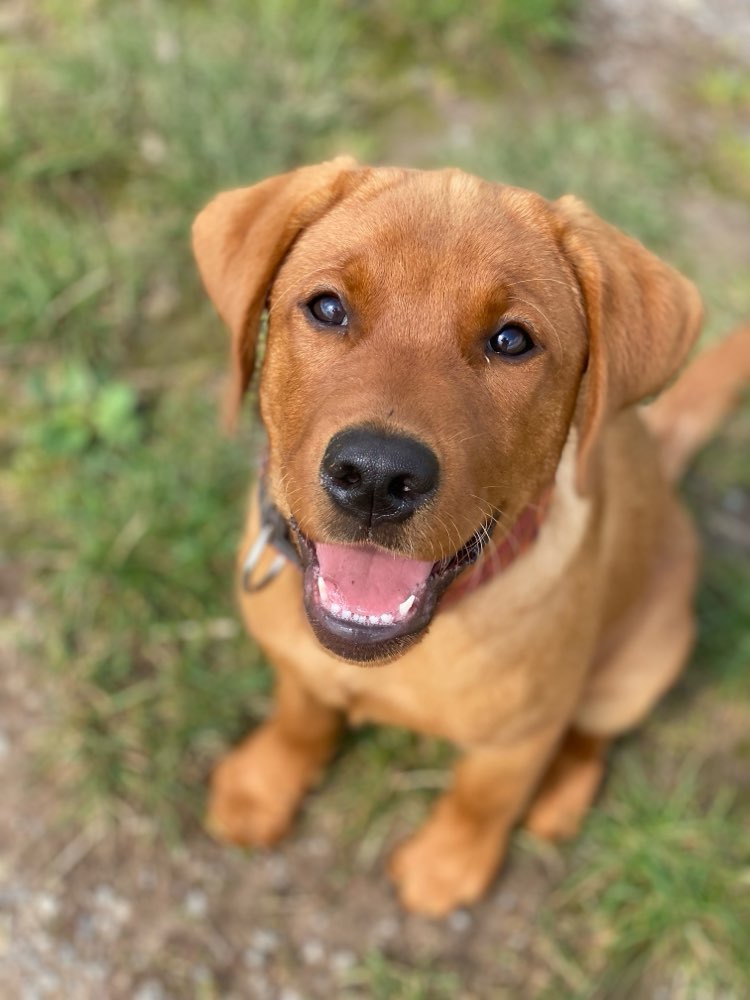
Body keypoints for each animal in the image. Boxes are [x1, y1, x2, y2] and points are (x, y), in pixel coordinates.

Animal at [192, 156, 750, 916]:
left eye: (511, 341)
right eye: (328, 308)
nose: (376, 476)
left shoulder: (519, 739)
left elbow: (483, 798)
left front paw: (449, 863)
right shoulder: (299, 664)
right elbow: (301, 718)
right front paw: (263, 784)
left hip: (641, 666)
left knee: (591, 735)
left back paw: (561, 794)